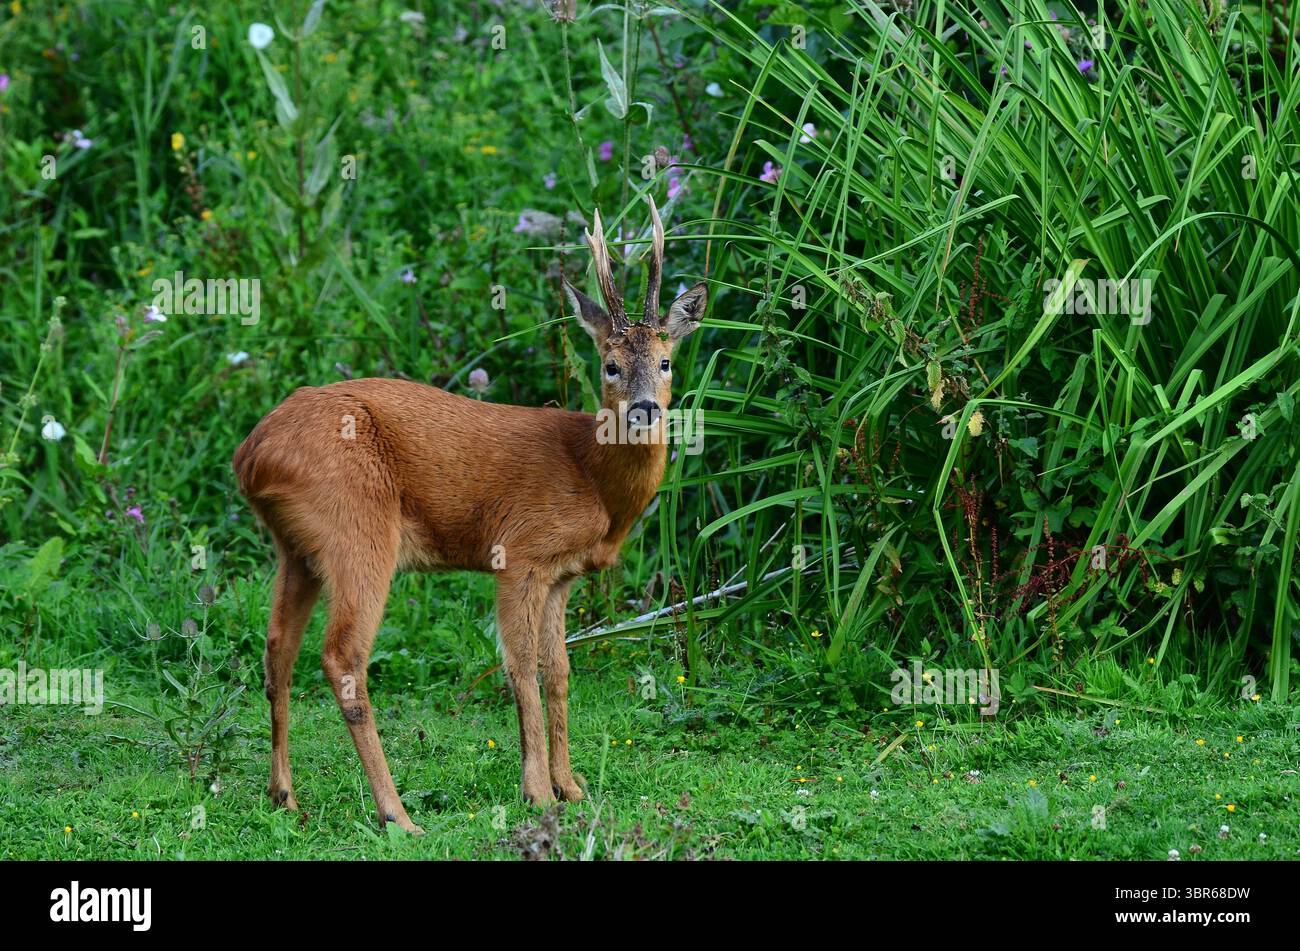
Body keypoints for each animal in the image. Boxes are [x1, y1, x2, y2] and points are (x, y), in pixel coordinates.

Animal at [232, 197, 706, 833]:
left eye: (665, 361)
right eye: (609, 365)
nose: (645, 410)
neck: (593, 479)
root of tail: (251, 454)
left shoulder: (562, 576)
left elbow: (560, 671)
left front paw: (573, 787)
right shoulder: (520, 554)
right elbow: (521, 668)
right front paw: (538, 791)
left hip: (296, 548)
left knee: (277, 647)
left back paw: (283, 795)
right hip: (357, 529)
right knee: (343, 657)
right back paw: (397, 814)